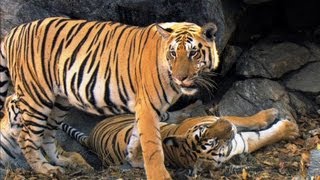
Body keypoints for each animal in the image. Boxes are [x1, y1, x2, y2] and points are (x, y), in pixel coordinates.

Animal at [0, 16, 220, 179]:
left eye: (193, 54)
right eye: (173, 53)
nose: (181, 77)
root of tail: (14, 31)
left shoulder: (145, 108)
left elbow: (136, 137)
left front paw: (134, 160)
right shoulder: (148, 107)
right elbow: (152, 145)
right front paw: (159, 175)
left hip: (59, 102)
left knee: (47, 134)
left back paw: (64, 162)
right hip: (36, 97)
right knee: (27, 137)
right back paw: (45, 170)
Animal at [60, 109, 300, 176]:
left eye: (206, 130)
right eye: (213, 143)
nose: (227, 127)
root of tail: (91, 137)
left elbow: (245, 120)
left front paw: (273, 115)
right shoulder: (239, 141)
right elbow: (261, 135)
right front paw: (290, 128)